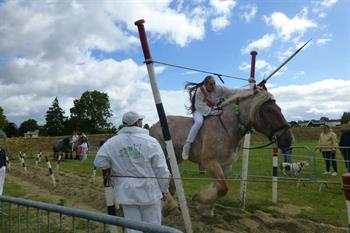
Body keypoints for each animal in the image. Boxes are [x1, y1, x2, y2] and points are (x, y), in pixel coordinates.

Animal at [149, 88, 294, 215]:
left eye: (280, 109)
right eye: (269, 111)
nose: (288, 140)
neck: (227, 128)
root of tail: (154, 125)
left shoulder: (226, 165)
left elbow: (219, 188)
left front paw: (206, 208)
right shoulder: (210, 162)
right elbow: (223, 188)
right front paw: (200, 198)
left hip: (174, 158)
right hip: (163, 156)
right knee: (161, 177)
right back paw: (171, 205)